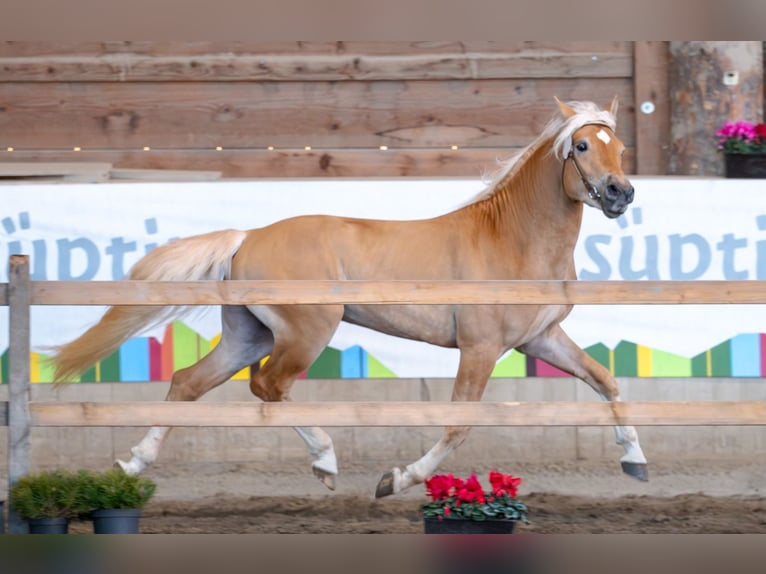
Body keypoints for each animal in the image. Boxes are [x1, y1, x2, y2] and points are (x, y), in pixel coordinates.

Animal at [49, 97, 648, 498]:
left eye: (621, 147)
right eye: (580, 146)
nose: (620, 193)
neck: (512, 239)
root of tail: (248, 236)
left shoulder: (540, 339)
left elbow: (607, 382)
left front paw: (636, 461)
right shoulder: (480, 348)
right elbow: (458, 424)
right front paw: (397, 479)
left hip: (250, 335)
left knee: (188, 383)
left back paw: (133, 464)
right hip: (308, 332)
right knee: (268, 386)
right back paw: (327, 461)